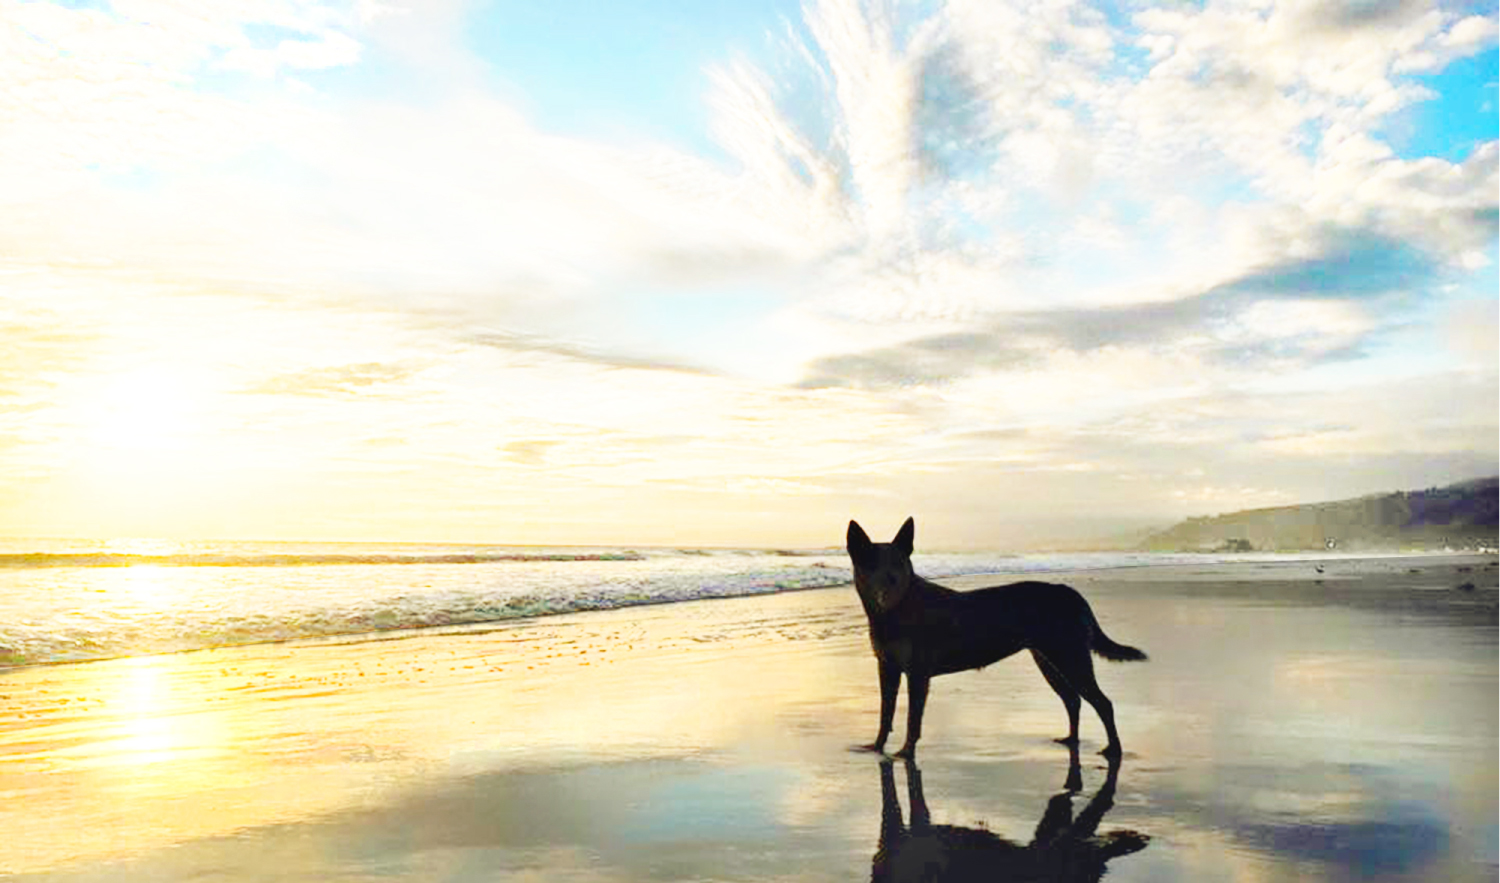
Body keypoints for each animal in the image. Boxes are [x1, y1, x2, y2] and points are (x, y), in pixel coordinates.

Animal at [846, 515, 1146, 758]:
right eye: (870, 563)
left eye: (900, 563)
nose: (891, 585)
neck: (895, 612)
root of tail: (1069, 592)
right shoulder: (887, 667)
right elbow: (885, 712)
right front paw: (877, 746)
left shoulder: (918, 674)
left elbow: (912, 719)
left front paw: (907, 752)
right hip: (1048, 660)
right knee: (1072, 700)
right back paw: (1071, 739)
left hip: (1071, 657)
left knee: (1102, 703)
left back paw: (1114, 749)